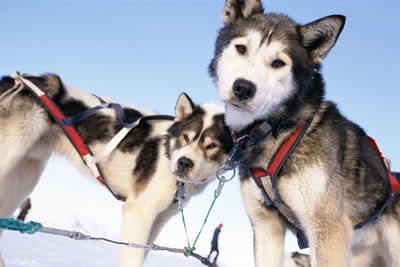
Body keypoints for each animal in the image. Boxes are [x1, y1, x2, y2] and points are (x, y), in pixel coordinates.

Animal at [0, 74, 231, 267]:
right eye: (185, 137)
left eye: (211, 145)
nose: (183, 162)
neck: (168, 152)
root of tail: (21, 79)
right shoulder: (138, 212)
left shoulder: (157, 220)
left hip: (24, 179)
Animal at [209, 1, 400, 266]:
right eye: (241, 48)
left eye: (278, 63)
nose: (243, 88)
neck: (279, 130)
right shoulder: (266, 226)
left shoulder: (327, 229)